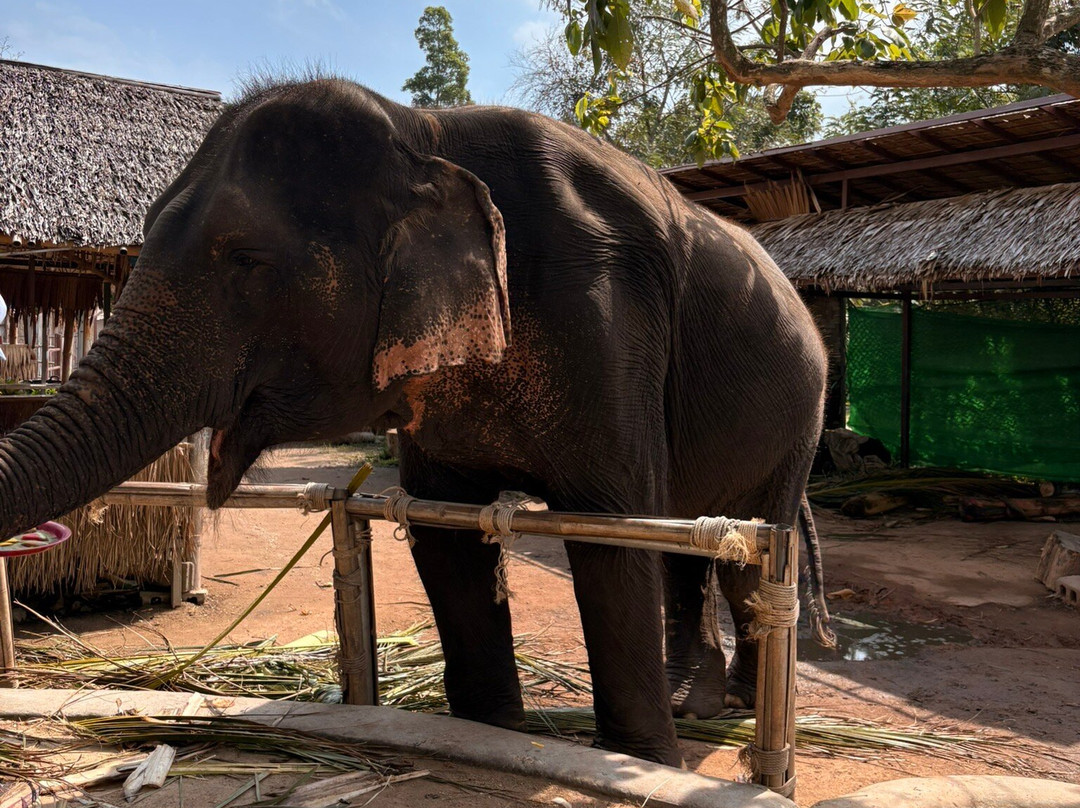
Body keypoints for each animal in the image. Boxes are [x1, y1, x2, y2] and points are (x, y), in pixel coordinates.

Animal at [0, 77, 831, 767]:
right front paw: (490, 735)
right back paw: (699, 701)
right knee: (694, 547)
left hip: (804, 417)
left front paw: (642, 763)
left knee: (741, 545)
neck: (424, 134)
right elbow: (446, 534)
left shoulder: (606, 316)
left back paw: (736, 708)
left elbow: (611, 534)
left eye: (245, 258)